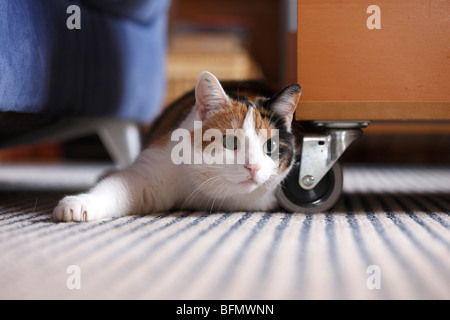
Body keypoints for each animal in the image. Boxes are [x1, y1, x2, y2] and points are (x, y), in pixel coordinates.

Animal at [52, 71, 300, 221]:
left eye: (270, 146)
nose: (253, 167)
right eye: (230, 141)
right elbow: (118, 186)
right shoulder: (153, 169)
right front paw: (79, 203)